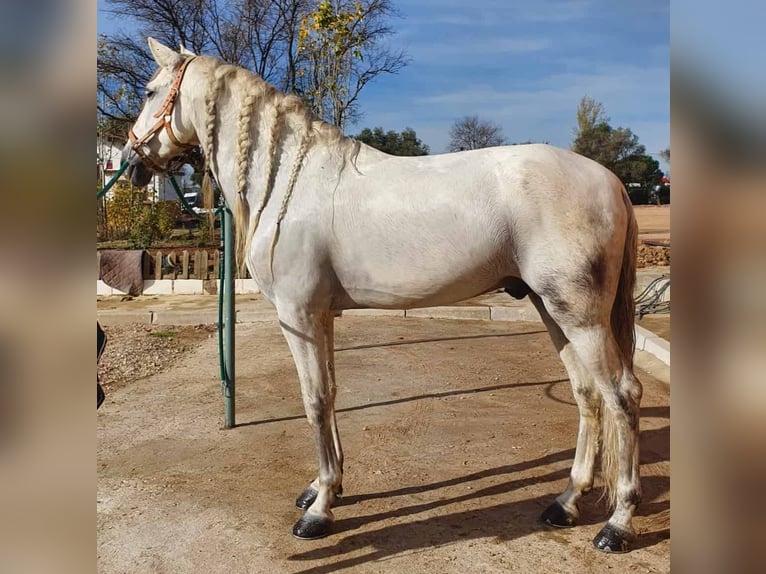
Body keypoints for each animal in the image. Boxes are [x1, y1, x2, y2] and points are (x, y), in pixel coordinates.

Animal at [122, 37, 643, 553]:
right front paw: (326, 485)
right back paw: (566, 503)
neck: (290, 180)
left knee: (622, 394)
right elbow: (331, 392)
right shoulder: (322, 316)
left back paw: (616, 524)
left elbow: (314, 398)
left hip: (580, 317)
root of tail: (612, 182)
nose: (130, 164)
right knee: (586, 394)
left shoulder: (298, 315)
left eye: (149, 92)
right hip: (552, 310)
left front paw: (319, 511)